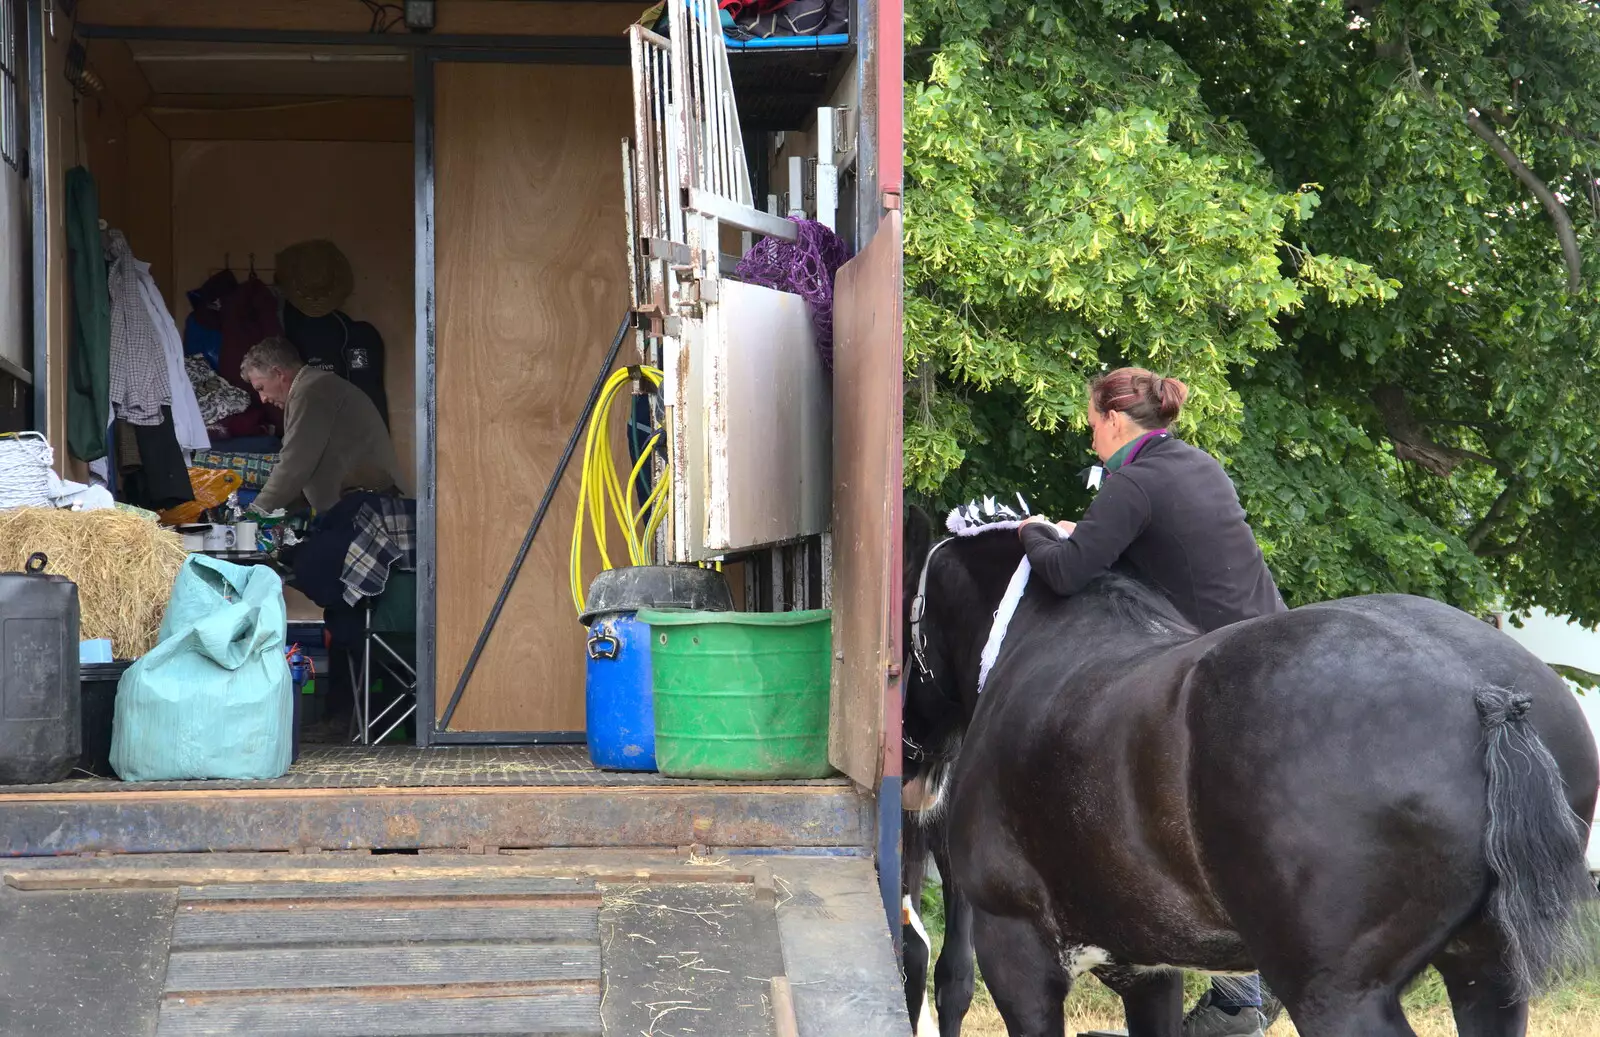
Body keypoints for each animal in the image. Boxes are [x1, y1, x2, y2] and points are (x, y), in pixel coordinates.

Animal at [902, 508, 1600, 1037]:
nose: (911, 772)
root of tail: (1484, 693)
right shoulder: (1149, 970)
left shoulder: (1017, 953)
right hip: (1490, 975)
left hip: (1338, 995)